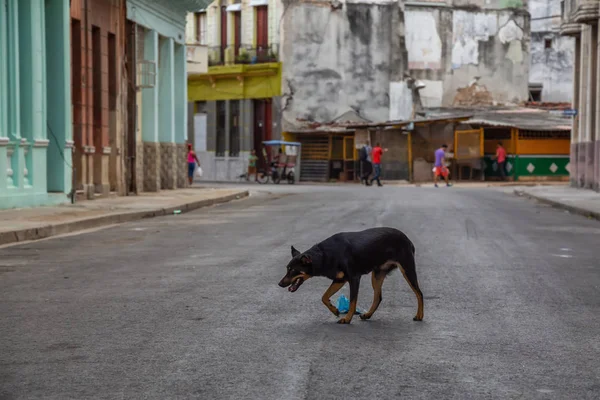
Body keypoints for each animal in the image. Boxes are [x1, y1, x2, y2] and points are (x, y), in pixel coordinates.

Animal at [278, 227, 424, 324]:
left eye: (293, 270)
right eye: (287, 269)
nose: (279, 284)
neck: (324, 255)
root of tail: (407, 239)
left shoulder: (354, 278)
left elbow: (353, 301)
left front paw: (347, 318)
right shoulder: (339, 279)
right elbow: (324, 297)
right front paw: (335, 310)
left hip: (407, 269)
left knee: (419, 293)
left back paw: (420, 315)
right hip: (377, 274)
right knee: (378, 297)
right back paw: (367, 315)